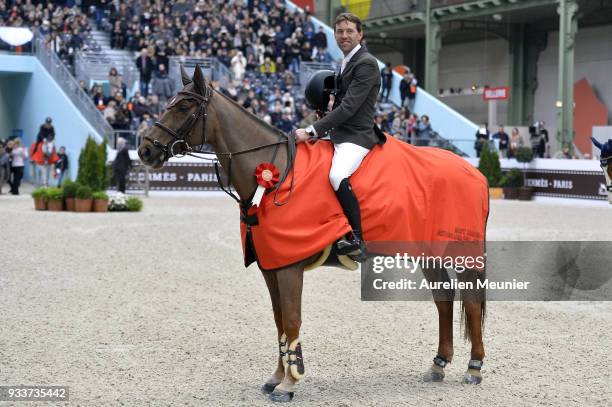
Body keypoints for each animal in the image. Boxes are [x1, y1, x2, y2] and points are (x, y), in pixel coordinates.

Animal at [139, 65, 488, 404]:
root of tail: (474, 171)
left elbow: (292, 319)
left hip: (462, 254)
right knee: (444, 300)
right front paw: (277, 377)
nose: (145, 149)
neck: (275, 174)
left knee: (470, 303)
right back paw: (438, 365)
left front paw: (289, 383)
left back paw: (474, 368)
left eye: (183, 106)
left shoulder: (289, 266)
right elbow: (279, 320)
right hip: (429, 254)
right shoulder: (272, 265)